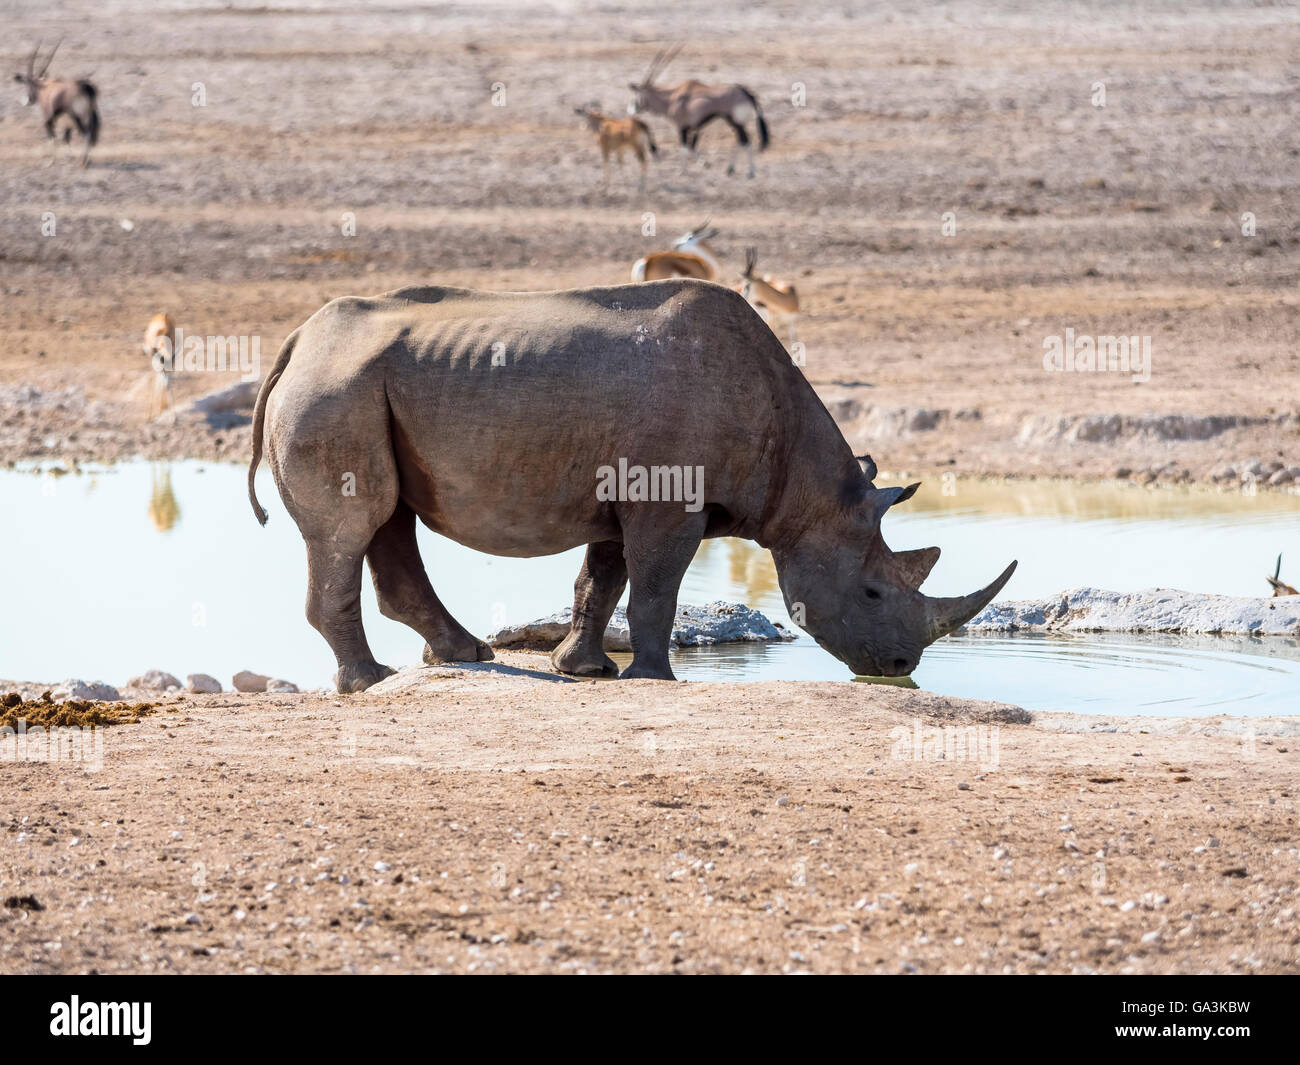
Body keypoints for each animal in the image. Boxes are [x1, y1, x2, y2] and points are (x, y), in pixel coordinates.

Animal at [247, 280, 1016, 692]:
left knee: (388, 520)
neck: (806, 487)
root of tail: (296, 342)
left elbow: (604, 578)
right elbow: (655, 586)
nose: (900, 663)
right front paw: (654, 678)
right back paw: (371, 681)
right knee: (355, 524)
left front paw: (583, 670)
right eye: (874, 592)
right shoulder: (666, 500)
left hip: (356, 387)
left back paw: (463, 656)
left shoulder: (630, 492)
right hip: (335, 390)